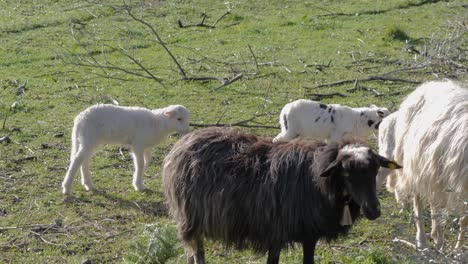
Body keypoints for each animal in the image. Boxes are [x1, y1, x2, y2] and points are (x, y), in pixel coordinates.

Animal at [61, 104, 190, 195]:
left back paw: (89, 185)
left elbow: (146, 161)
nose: (187, 131)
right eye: (179, 119)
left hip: (89, 141)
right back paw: (67, 187)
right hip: (89, 138)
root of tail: (79, 119)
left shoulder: (147, 146)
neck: (157, 123)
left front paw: (136, 178)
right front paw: (138, 185)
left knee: (84, 160)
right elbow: (140, 163)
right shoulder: (138, 145)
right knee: (77, 159)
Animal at [376, 80, 468, 250]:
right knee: (418, 201)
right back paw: (422, 241)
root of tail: (426, 85)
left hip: (432, 170)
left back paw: (437, 237)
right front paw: (458, 250)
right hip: (415, 164)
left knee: (434, 203)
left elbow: (464, 220)